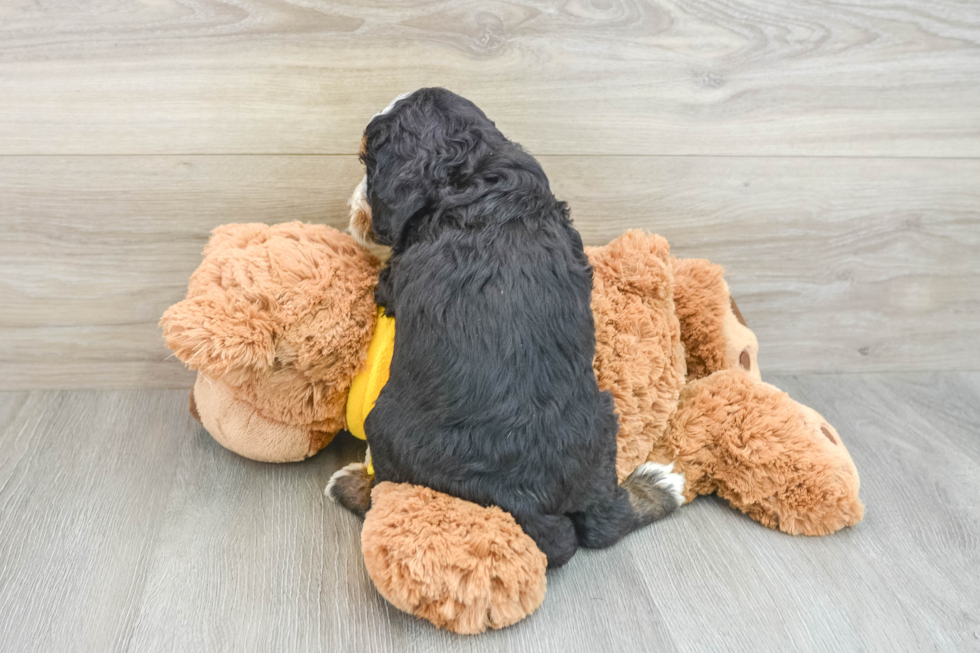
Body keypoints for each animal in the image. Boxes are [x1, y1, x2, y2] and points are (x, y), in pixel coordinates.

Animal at [330, 86, 680, 564]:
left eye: (368, 164)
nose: (352, 206)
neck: (472, 173)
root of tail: (534, 500)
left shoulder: (395, 277)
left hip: (386, 429)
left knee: (387, 488)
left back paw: (347, 484)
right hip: (604, 417)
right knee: (610, 520)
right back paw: (658, 484)